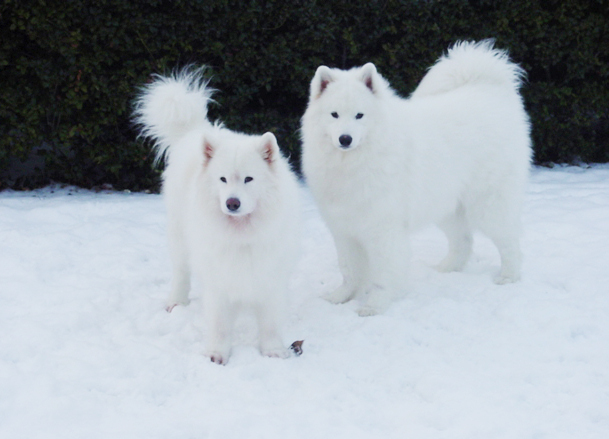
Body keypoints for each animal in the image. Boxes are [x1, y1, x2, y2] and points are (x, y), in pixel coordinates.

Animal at [135, 69, 302, 364]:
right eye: (222, 179)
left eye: (248, 179)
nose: (232, 203)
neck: (242, 233)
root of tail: (195, 130)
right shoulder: (219, 280)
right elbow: (220, 323)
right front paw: (217, 354)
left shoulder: (269, 277)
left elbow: (270, 322)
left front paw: (272, 351)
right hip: (180, 239)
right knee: (181, 272)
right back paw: (176, 302)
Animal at [302, 40, 528, 316]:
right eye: (334, 114)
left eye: (359, 115)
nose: (345, 139)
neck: (354, 162)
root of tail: (490, 91)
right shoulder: (344, 230)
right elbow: (349, 270)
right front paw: (341, 297)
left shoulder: (384, 230)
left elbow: (382, 274)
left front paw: (375, 306)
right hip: (447, 207)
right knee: (463, 240)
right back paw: (446, 269)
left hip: (488, 206)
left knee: (509, 242)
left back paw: (509, 277)